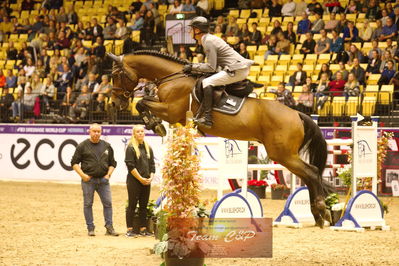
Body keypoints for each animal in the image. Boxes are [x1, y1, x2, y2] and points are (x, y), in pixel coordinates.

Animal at [107, 51, 334, 228]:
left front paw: (155, 124)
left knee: (312, 172)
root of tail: (297, 114)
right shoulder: (175, 117)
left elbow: (142, 102)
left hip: (282, 154)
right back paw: (317, 215)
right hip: (285, 155)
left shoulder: (170, 111)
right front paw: (154, 124)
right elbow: (144, 103)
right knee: (309, 175)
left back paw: (322, 211)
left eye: (116, 75)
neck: (172, 77)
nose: (116, 103)